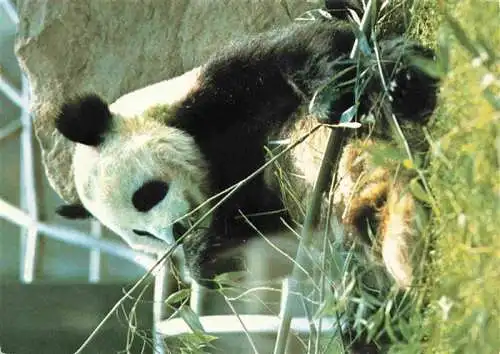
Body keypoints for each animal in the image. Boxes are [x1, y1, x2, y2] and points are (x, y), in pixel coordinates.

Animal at [53, 3, 438, 290]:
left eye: (146, 195)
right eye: (142, 234)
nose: (177, 231)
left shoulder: (217, 89)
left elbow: (309, 46)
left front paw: (330, 97)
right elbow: (251, 242)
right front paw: (204, 254)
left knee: (390, 71)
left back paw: (406, 88)